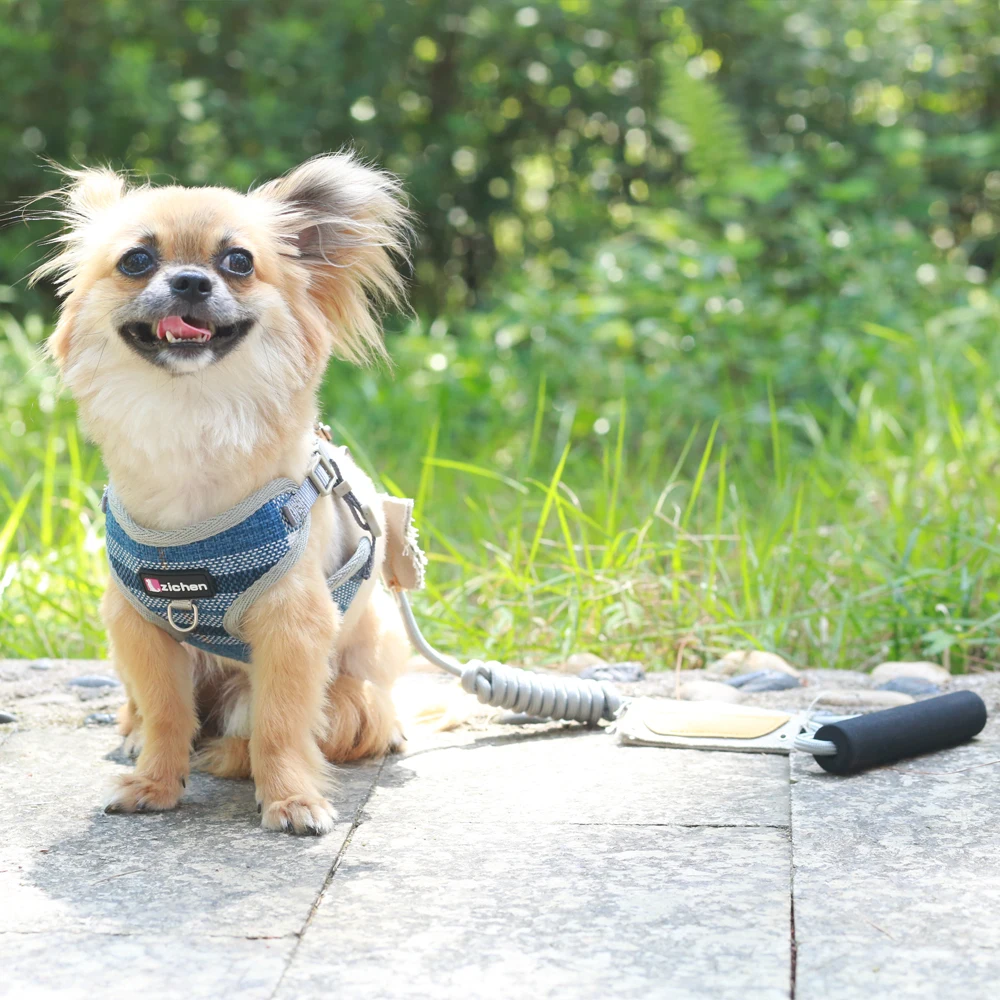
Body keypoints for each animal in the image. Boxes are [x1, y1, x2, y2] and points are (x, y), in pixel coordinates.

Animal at [34, 152, 418, 832]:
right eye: (136, 260)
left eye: (238, 261)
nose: (190, 282)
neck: (191, 418)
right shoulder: (140, 628)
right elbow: (166, 713)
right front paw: (156, 783)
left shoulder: (293, 627)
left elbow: (280, 725)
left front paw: (291, 798)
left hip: (358, 678)